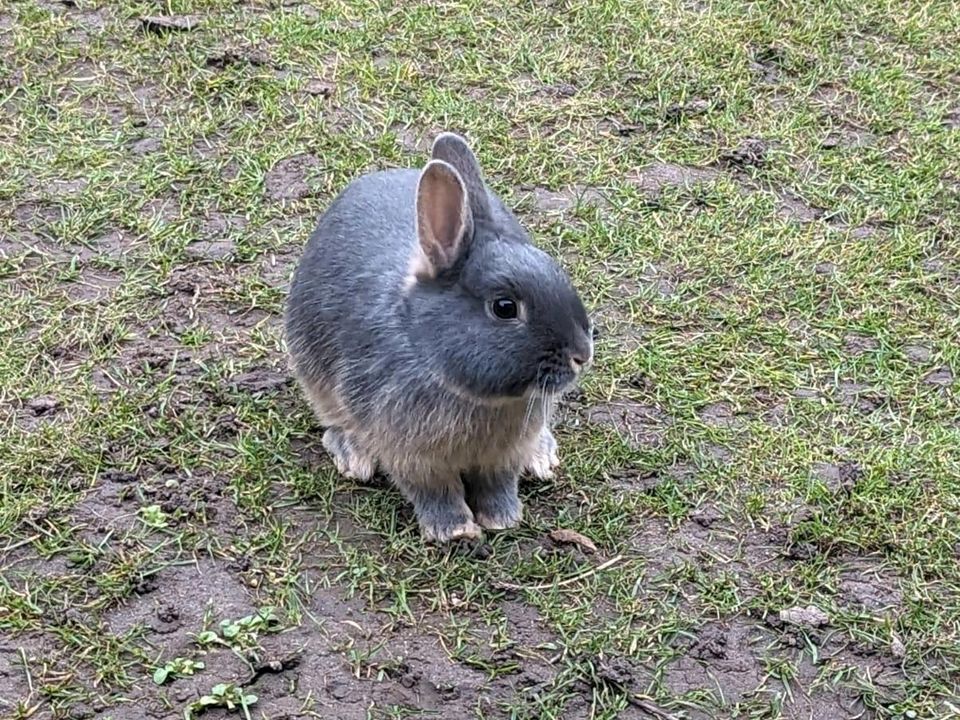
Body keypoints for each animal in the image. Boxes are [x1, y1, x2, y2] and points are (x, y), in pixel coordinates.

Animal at [284, 132, 592, 544]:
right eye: (505, 308)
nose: (582, 354)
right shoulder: (412, 455)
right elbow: (434, 490)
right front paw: (455, 530)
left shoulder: (504, 455)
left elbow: (498, 483)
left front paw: (501, 518)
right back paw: (353, 454)